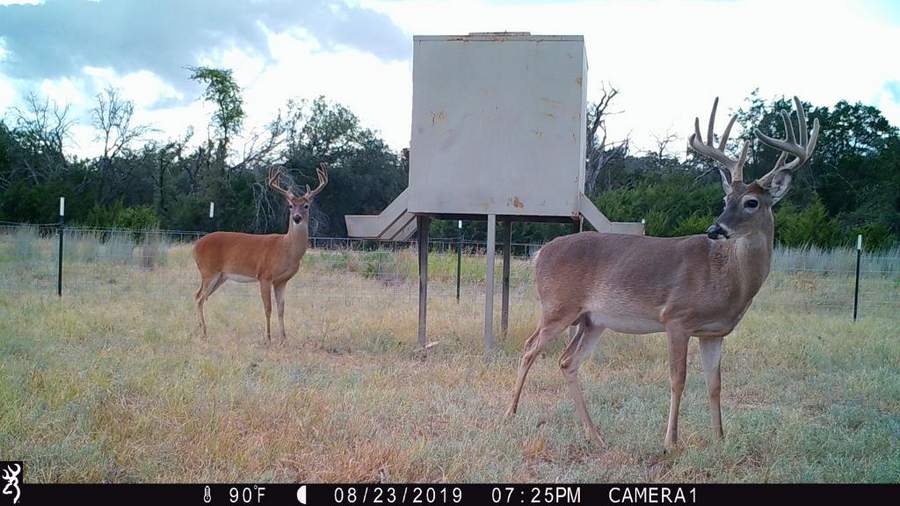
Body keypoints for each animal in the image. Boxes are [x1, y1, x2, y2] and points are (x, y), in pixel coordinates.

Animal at [192, 163, 328, 343]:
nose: (297, 217)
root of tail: (195, 246)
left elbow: (281, 309)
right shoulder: (265, 275)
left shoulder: (281, 281)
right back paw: (204, 332)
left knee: (199, 297)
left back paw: (200, 330)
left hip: (221, 276)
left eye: (306, 205)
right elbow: (268, 308)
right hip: (208, 271)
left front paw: (284, 338)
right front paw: (268, 338)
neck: (286, 248)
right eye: (290, 206)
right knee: (199, 297)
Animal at [505, 97, 819, 449]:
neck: (728, 280)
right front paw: (671, 441)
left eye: (751, 202)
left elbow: (715, 384)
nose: (715, 229)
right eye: (726, 198)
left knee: (567, 362)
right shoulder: (676, 318)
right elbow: (677, 379)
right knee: (530, 348)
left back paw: (594, 434)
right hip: (558, 306)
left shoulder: (714, 332)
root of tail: (539, 253)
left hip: (592, 320)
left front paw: (719, 439)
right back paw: (510, 414)